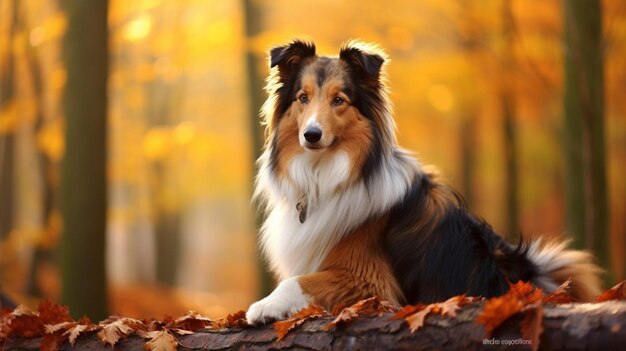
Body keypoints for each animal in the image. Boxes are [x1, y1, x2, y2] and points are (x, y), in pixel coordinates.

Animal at [244, 40, 600, 324]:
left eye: (339, 100)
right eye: (303, 97)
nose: (311, 135)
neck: (323, 176)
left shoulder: (370, 281)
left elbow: (296, 281)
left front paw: (264, 306)